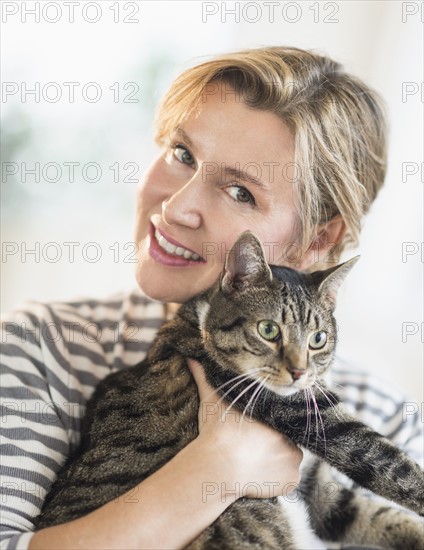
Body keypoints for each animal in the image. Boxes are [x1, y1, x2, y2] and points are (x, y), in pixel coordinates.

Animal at [35, 233, 424, 550]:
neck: (198, 321)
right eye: (268, 330)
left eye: (318, 339)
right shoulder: (308, 416)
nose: (300, 372)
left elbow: (370, 514)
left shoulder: (319, 494)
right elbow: (390, 464)